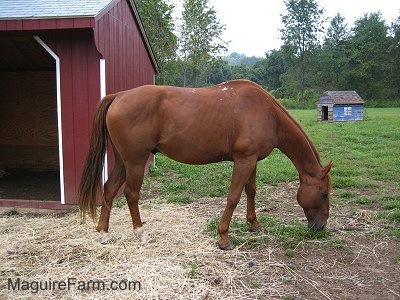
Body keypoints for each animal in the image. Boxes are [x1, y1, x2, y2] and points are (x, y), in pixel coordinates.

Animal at [77, 78, 332, 250]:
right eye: (323, 194)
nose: (321, 226)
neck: (266, 113)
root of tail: (118, 96)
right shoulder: (243, 161)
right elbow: (233, 197)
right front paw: (224, 237)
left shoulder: (252, 160)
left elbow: (251, 191)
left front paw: (254, 224)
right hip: (136, 162)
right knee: (131, 194)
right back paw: (140, 233)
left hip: (124, 161)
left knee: (110, 189)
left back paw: (104, 233)